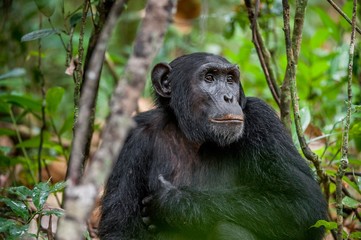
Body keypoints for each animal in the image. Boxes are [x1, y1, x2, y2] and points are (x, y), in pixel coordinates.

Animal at [97, 53, 326, 240]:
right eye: (209, 78)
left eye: (230, 79)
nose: (229, 97)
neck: (193, 135)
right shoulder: (130, 139)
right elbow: (119, 227)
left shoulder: (263, 122)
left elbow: (302, 202)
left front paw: (174, 203)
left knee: (227, 228)